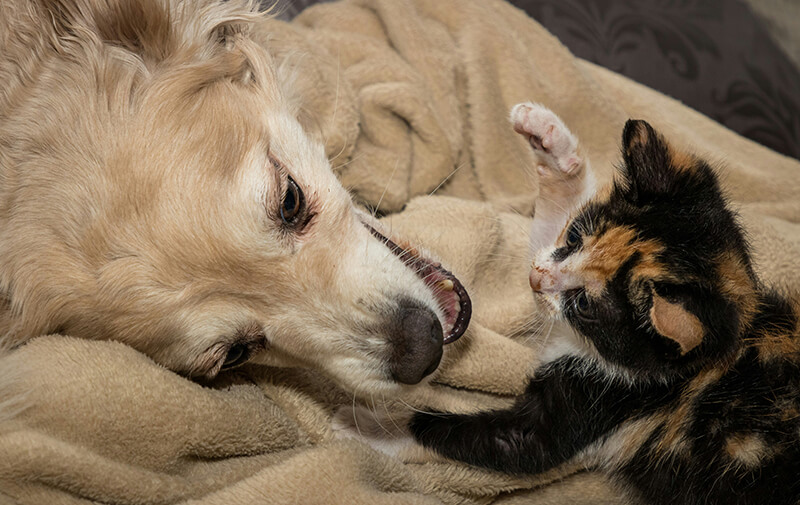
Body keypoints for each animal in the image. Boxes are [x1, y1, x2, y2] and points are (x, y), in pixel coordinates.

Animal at [406, 103, 800, 504]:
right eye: (574, 237)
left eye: (583, 305)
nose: (535, 279)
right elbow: (546, 234)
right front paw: (549, 140)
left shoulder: (605, 399)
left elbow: (519, 444)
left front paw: (396, 423)